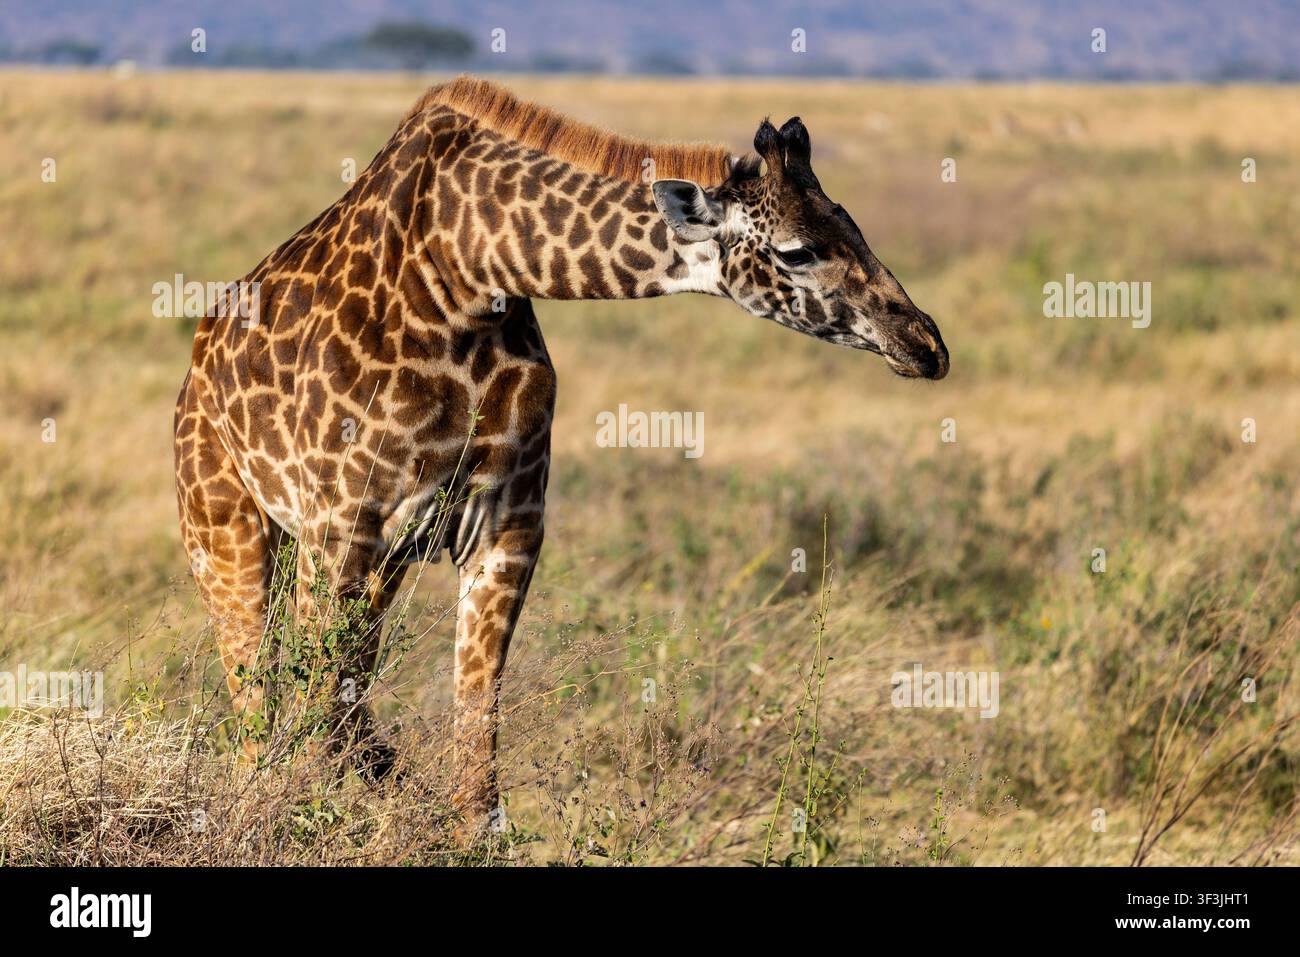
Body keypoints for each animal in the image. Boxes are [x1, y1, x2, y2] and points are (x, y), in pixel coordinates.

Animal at [173, 76, 948, 832]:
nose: (925, 344)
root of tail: (197, 363)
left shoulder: (503, 524)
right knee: (259, 709)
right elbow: (314, 719)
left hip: (375, 563)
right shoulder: (340, 526)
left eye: (853, 226)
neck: (469, 265)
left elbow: (471, 753)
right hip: (229, 530)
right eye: (796, 251)